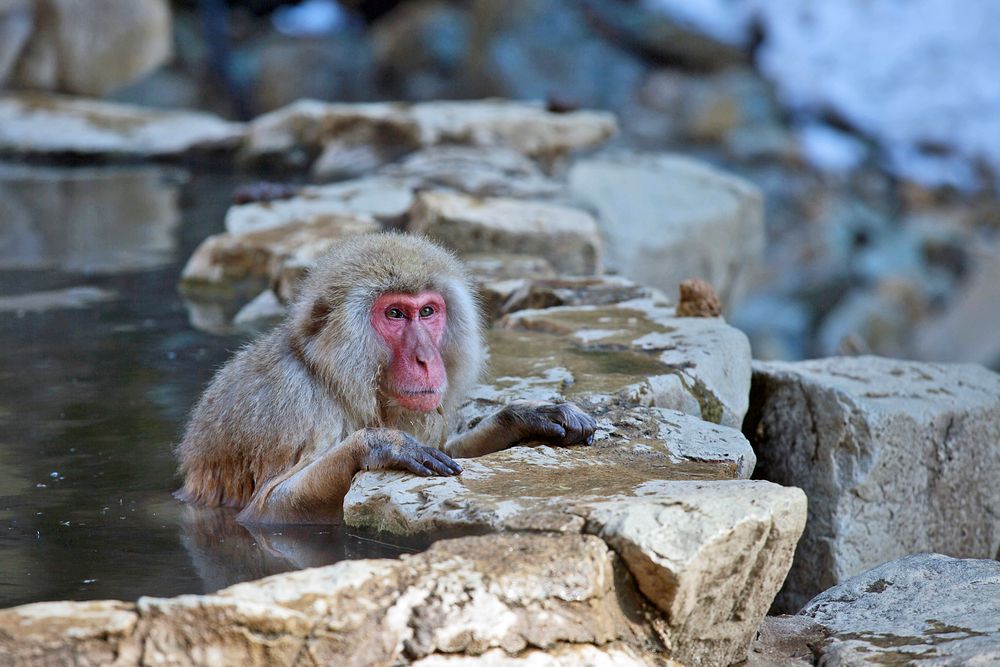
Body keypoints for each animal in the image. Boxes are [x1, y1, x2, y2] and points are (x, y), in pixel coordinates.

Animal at [176, 232, 596, 524]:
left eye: (426, 311)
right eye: (395, 314)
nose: (425, 359)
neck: (336, 381)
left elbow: (447, 453)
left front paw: (525, 415)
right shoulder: (291, 406)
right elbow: (265, 509)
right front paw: (380, 445)